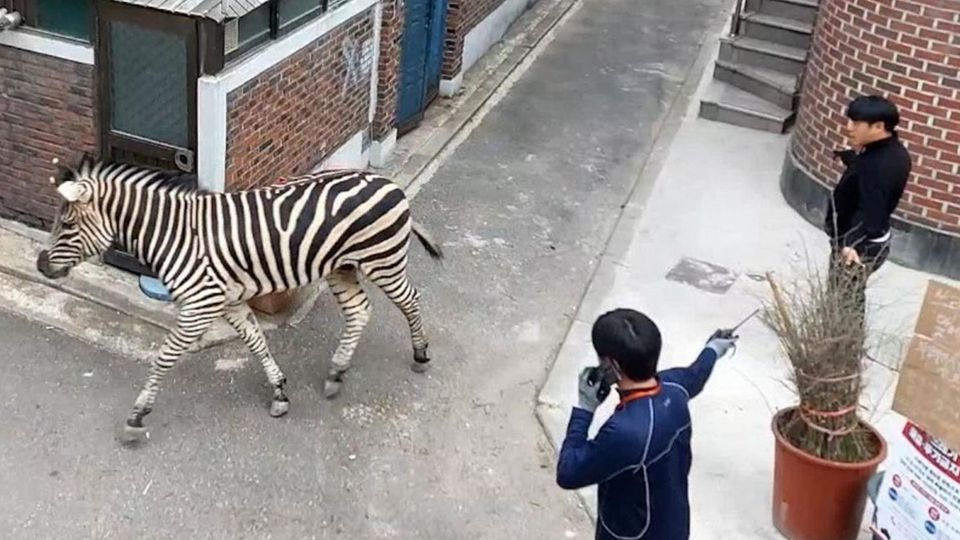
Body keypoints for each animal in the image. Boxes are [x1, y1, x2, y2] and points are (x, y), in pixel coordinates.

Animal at [37, 154, 444, 443]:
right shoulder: (228, 301)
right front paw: (279, 392)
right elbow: (256, 342)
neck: (174, 234)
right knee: (359, 311)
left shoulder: (199, 306)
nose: (41, 264)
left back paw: (421, 354)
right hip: (341, 267)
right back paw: (336, 372)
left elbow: (164, 357)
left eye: (67, 224)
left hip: (383, 260)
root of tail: (386, 181)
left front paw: (137, 416)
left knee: (411, 299)